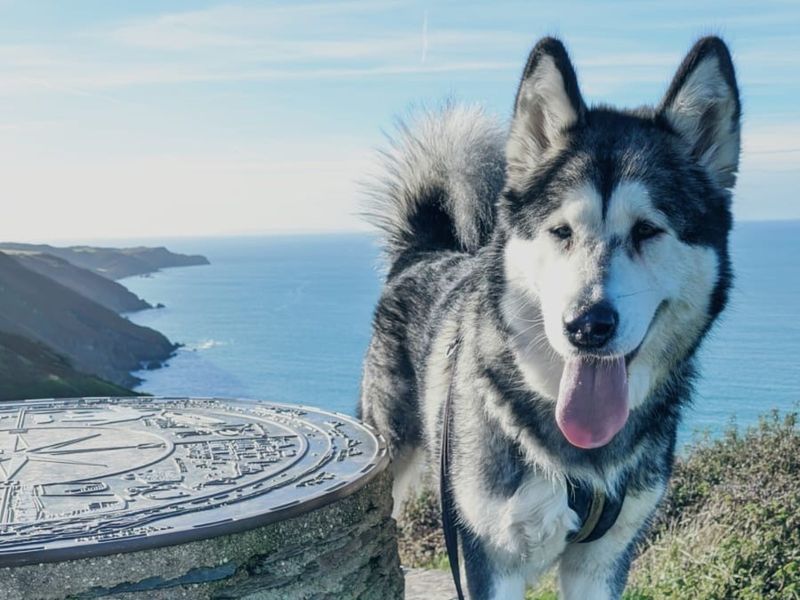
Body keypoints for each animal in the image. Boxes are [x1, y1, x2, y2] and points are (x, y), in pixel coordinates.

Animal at [360, 37, 740, 600]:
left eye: (647, 230)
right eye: (561, 231)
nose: (587, 326)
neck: (578, 455)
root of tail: (424, 252)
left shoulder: (602, 563)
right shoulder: (488, 558)